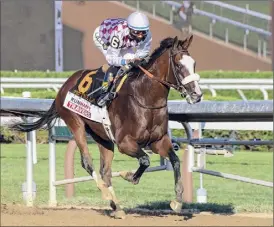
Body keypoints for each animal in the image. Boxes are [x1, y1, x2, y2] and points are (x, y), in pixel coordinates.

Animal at [11, 35, 202, 218]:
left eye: (194, 64)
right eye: (178, 64)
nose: (197, 95)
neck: (145, 98)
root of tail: (66, 84)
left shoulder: (158, 141)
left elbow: (175, 160)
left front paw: (177, 200)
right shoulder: (125, 143)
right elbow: (145, 160)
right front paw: (129, 176)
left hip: (103, 137)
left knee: (106, 172)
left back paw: (117, 207)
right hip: (75, 123)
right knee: (87, 162)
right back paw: (105, 192)